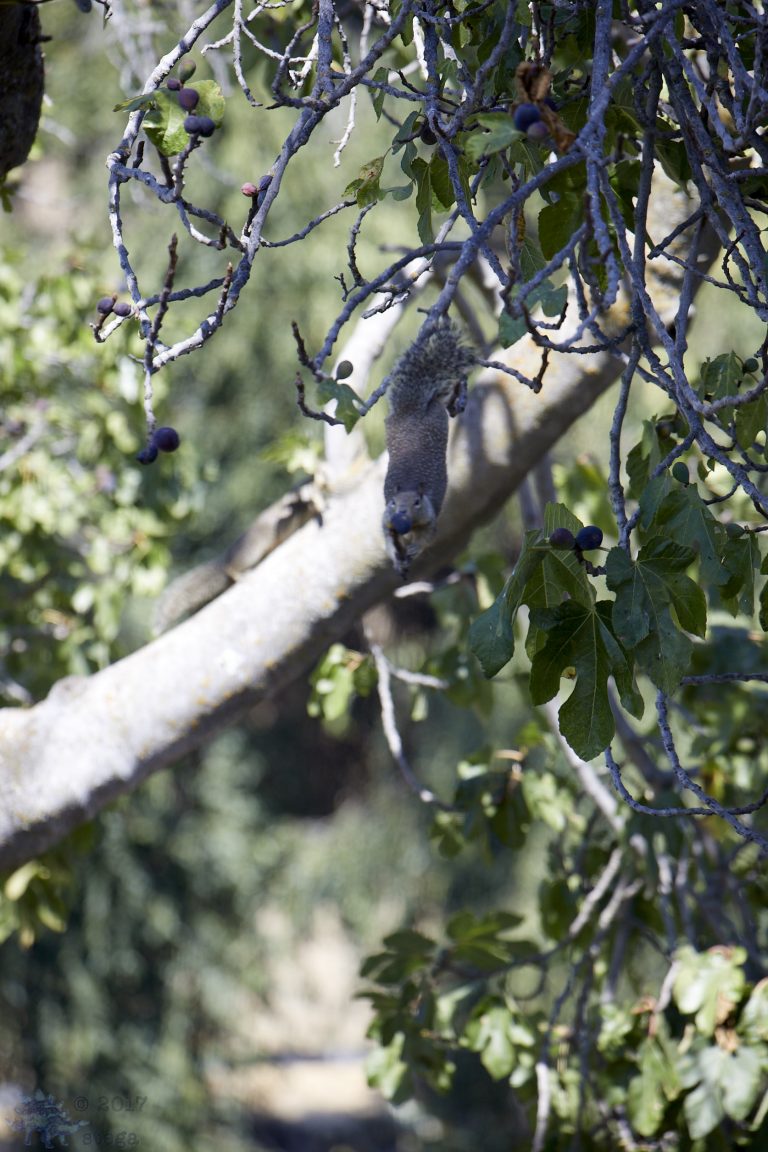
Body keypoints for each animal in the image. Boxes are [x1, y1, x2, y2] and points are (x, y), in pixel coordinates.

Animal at [382, 320, 475, 578]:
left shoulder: (430, 521)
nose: (401, 520)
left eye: (417, 502)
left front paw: (414, 550)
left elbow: (426, 540)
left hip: (438, 419)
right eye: (392, 503)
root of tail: (412, 410)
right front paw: (397, 558)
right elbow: (388, 539)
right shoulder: (386, 521)